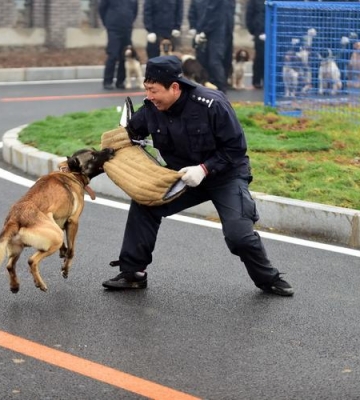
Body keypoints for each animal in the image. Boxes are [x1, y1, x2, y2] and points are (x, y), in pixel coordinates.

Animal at [0, 148, 114, 292]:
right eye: (93, 157)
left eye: (94, 150)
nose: (111, 149)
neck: (70, 172)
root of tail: (15, 218)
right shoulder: (73, 222)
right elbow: (71, 251)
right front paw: (65, 268)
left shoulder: (58, 221)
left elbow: (65, 247)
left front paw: (63, 252)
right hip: (56, 237)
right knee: (32, 260)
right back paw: (40, 283)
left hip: (20, 246)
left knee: (10, 265)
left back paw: (15, 285)